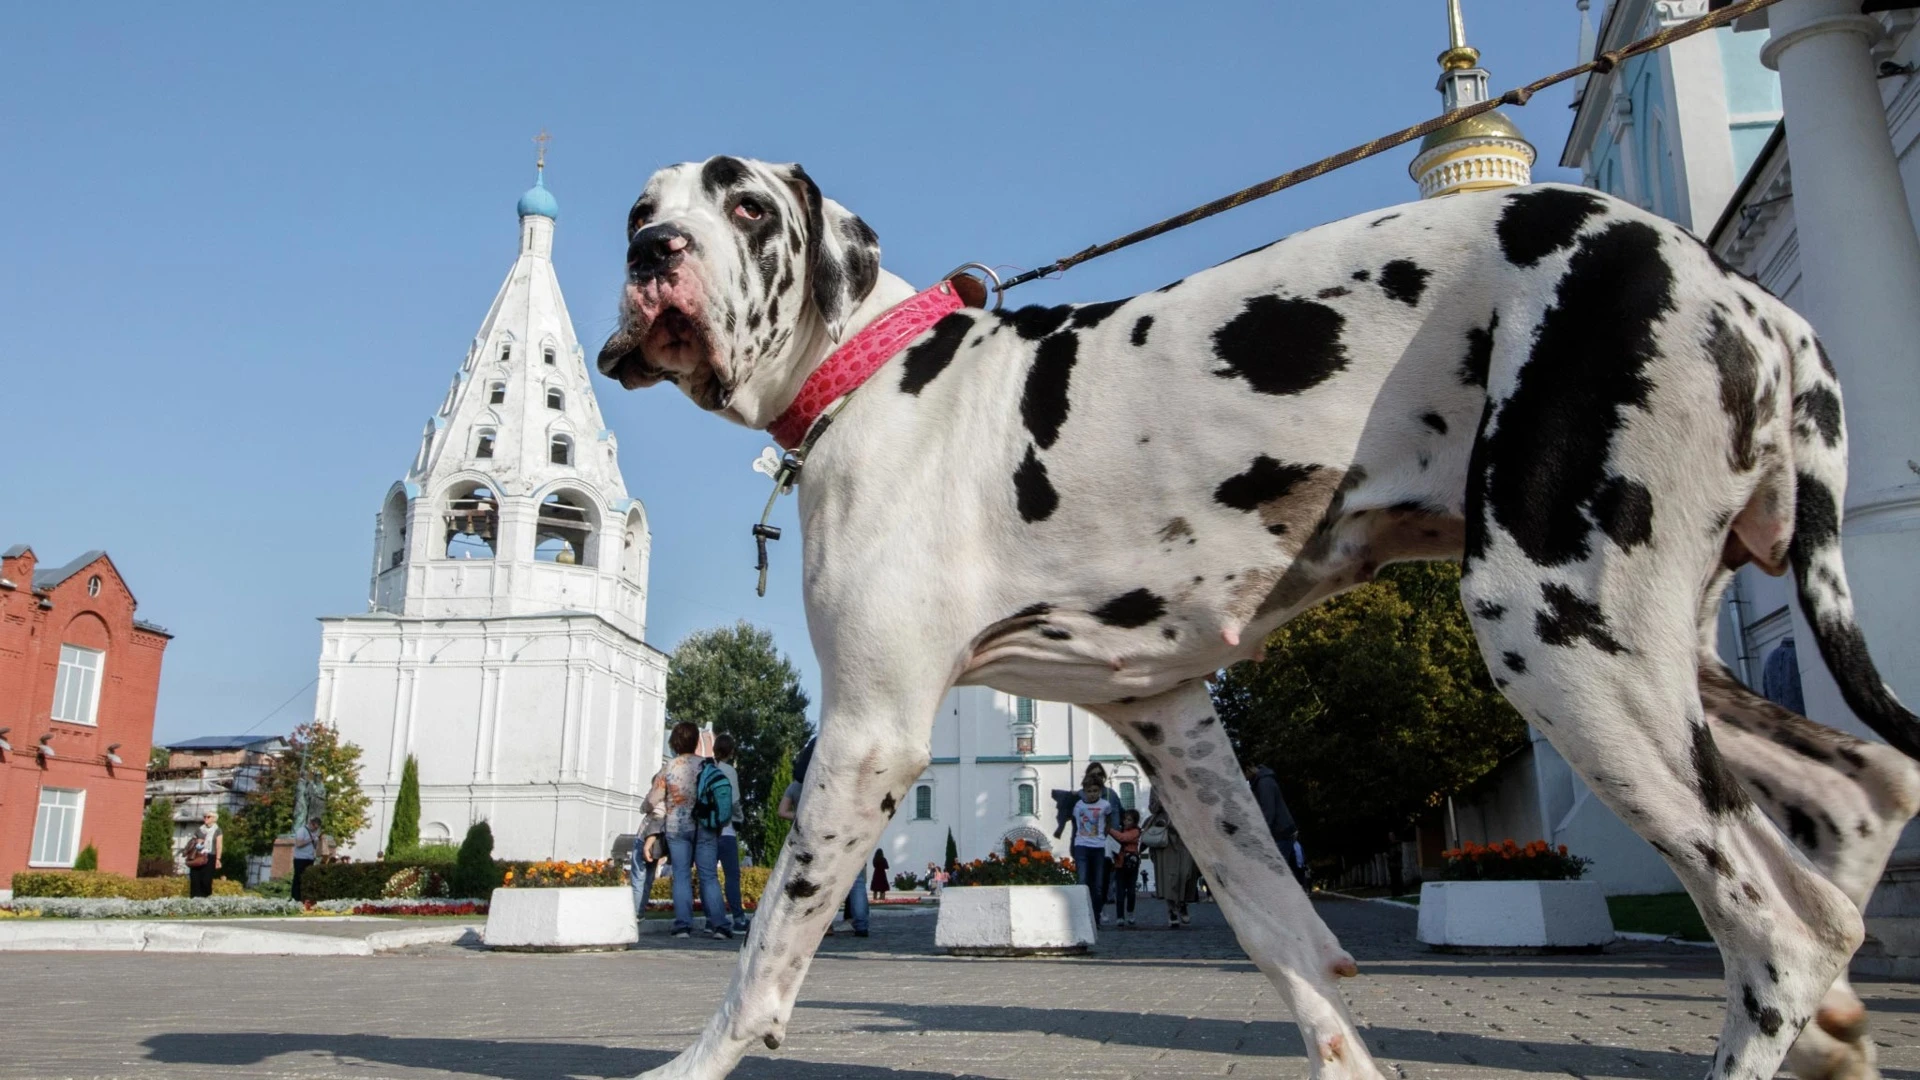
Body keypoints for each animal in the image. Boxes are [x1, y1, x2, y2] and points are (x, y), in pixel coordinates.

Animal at [599, 153, 1920, 1076]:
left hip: (1560, 637)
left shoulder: (869, 735)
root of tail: (1745, 293)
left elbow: (768, 951)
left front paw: (693, 1060)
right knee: (1864, 795)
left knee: (1780, 932)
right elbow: (1285, 940)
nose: (656, 248)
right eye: (639, 211)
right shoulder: (1173, 724)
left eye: (749, 208)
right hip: (1659, 654)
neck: (877, 378)